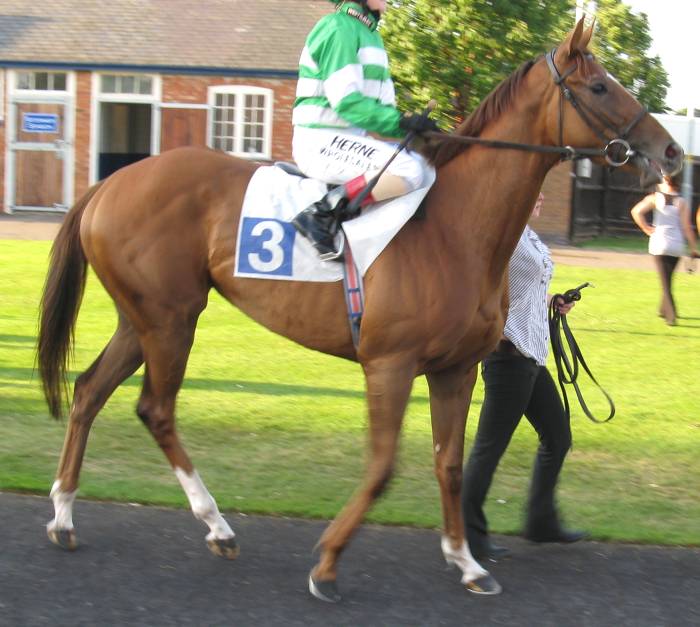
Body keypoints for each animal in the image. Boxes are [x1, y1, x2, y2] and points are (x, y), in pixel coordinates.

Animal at [38, 19, 682, 601]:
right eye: (599, 86)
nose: (671, 150)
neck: (455, 229)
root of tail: (110, 183)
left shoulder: (456, 370)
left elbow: (451, 464)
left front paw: (466, 561)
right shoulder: (389, 366)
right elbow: (382, 467)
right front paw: (328, 562)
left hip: (142, 319)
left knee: (90, 391)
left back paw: (66, 514)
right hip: (171, 321)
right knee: (156, 409)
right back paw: (215, 524)